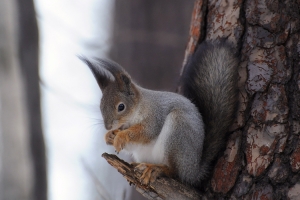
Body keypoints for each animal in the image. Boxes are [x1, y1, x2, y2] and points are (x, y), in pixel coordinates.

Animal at [79, 40, 239, 186]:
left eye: (121, 107)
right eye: (101, 106)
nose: (107, 126)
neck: (135, 113)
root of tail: (194, 171)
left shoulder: (155, 116)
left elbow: (146, 132)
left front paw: (120, 136)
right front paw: (110, 136)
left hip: (178, 132)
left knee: (175, 172)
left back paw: (156, 169)